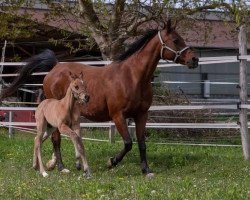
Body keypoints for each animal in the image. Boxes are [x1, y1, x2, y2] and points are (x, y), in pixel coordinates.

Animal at [0, 19, 198, 177]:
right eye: (176, 40)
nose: (194, 60)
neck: (133, 77)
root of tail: (55, 67)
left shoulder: (142, 115)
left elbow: (141, 143)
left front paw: (146, 170)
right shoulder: (118, 116)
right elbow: (128, 143)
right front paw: (111, 162)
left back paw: (60, 164)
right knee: (56, 139)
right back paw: (61, 167)